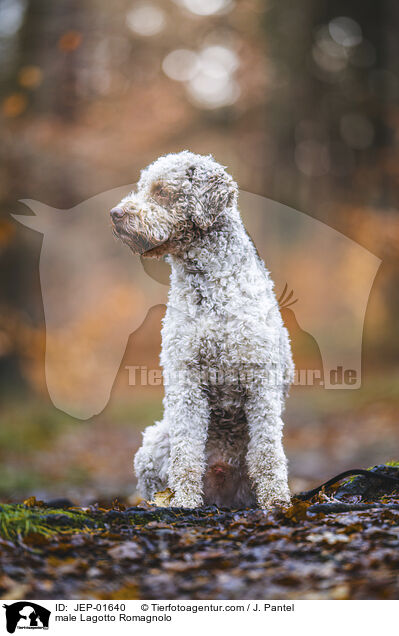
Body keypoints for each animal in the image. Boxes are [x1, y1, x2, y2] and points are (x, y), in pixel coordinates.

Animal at [109, 152, 294, 510]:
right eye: (141, 186)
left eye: (161, 191)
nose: (115, 214)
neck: (211, 287)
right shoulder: (186, 380)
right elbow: (186, 453)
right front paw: (184, 501)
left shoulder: (261, 381)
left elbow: (267, 452)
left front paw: (277, 501)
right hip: (153, 443)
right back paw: (167, 500)